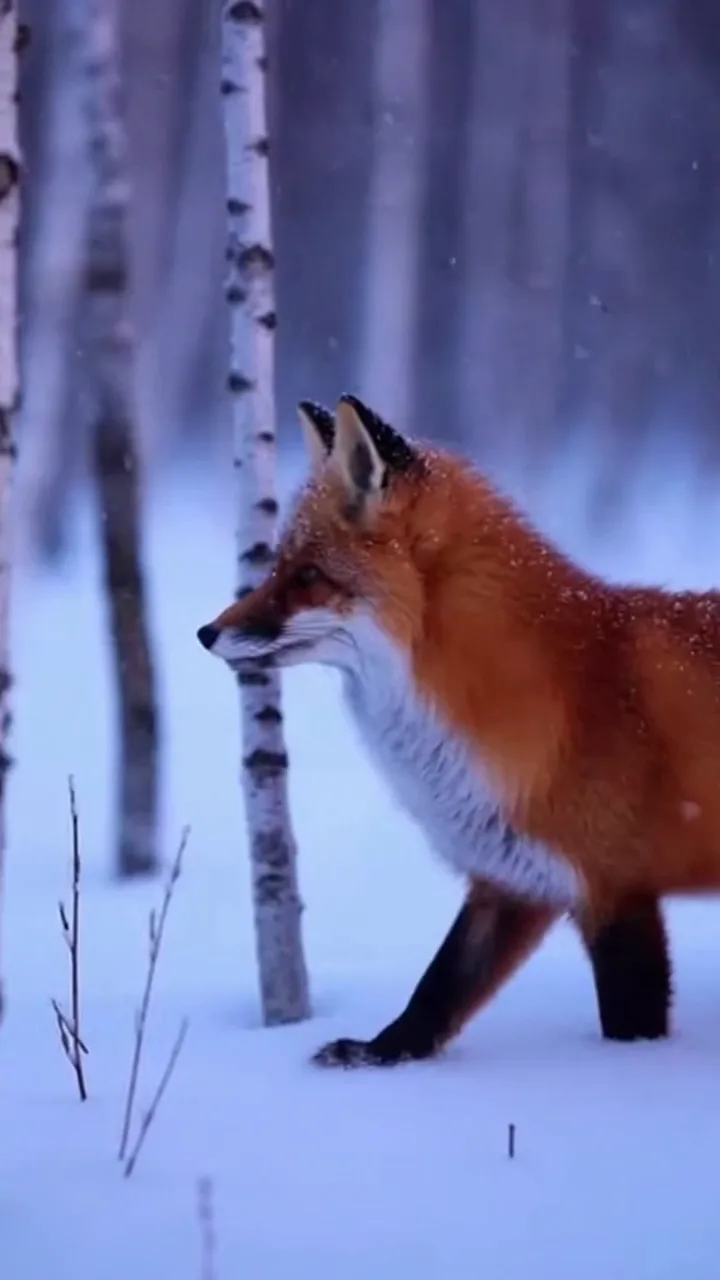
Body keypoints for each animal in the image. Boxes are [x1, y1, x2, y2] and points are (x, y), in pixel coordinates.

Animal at [194, 392, 712, 1069]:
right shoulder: (513, 878)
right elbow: (437, 992)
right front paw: (376, 1055)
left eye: (307, 575)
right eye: (278, 566)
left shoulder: (615, 890)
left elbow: (628, 1024)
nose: (205, 633)